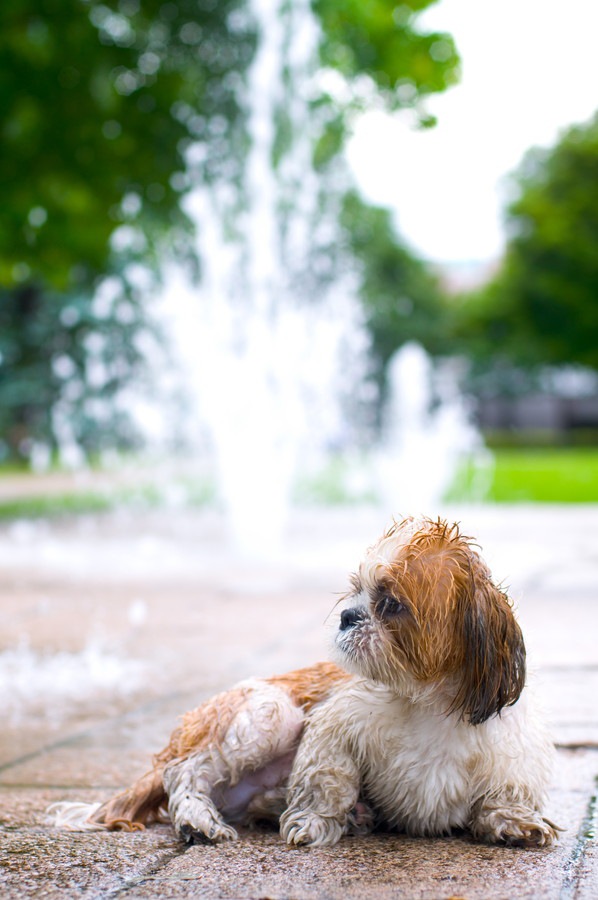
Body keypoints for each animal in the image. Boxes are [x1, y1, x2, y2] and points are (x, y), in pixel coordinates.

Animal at [49, 516, 560, 848]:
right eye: (356, 592)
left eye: (391, 604)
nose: (348, 615)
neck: (423, 701)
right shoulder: (335, 727)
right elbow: (325, 780)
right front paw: (315, 823)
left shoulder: (509, 753)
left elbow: (504, 796)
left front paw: (514, 823)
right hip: (269, 712)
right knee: (185, 774)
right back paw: (198, 819)